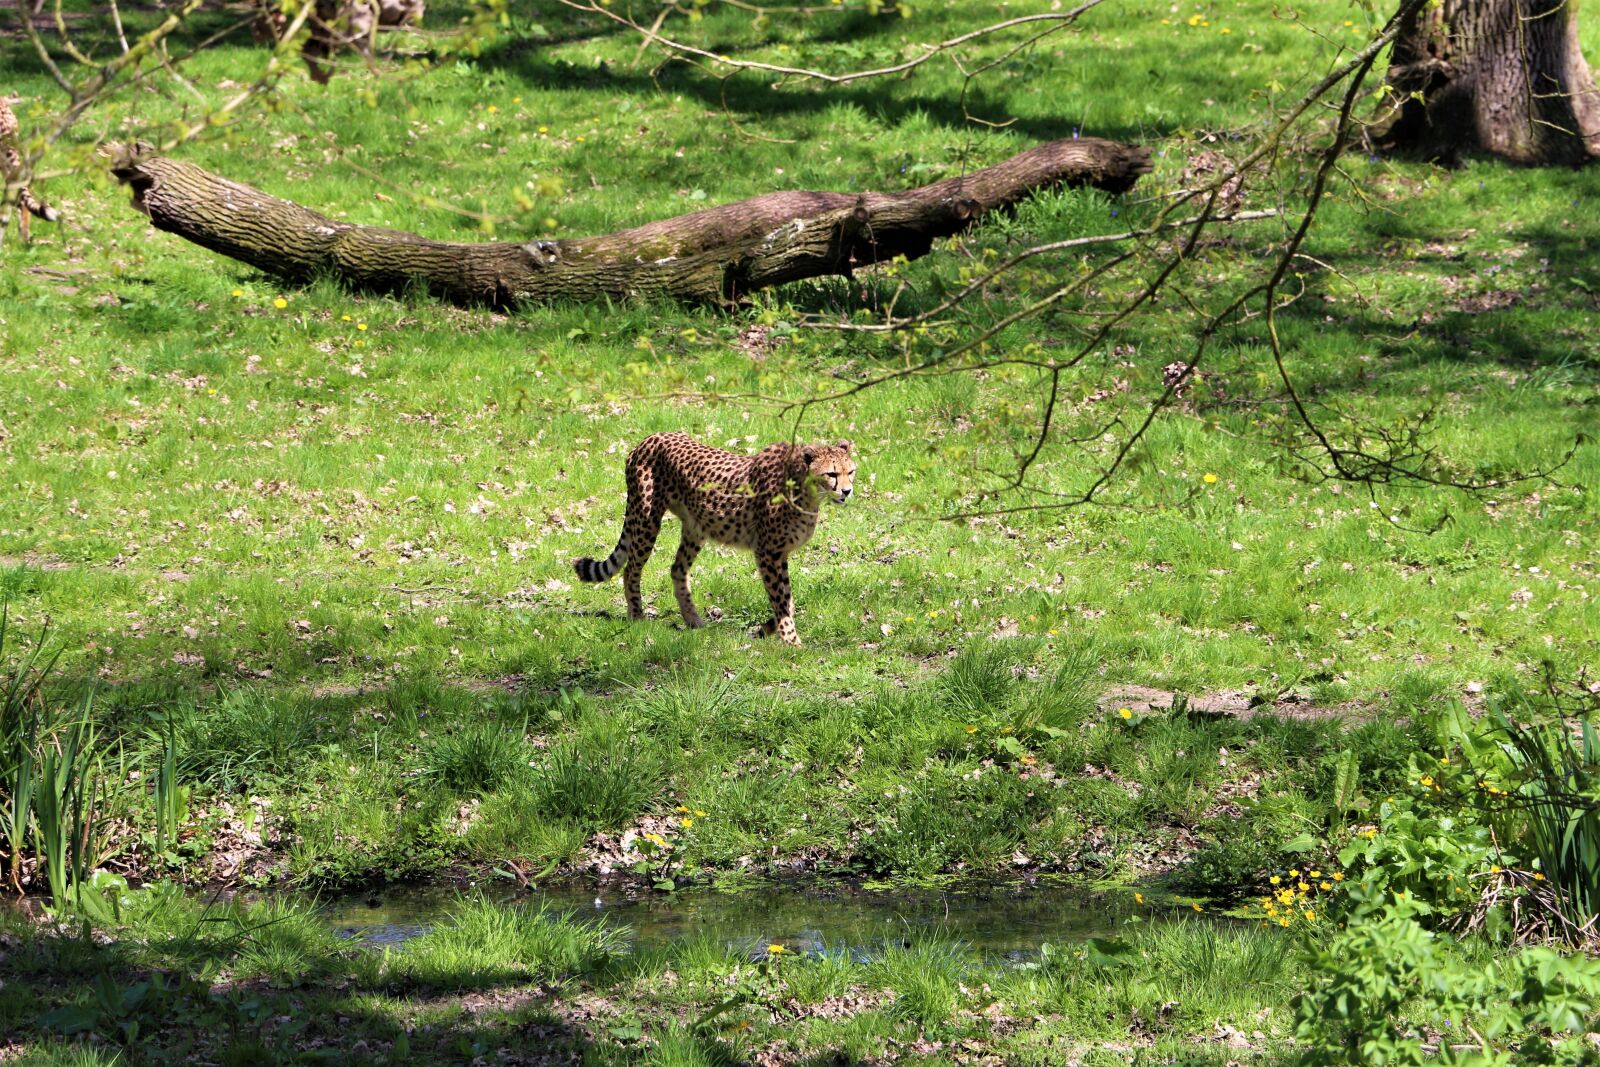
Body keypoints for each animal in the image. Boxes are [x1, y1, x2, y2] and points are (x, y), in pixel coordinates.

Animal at [574, 432, 856, 646]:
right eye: (831, 474)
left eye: (851, 471)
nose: (847, 491)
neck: (806, 491)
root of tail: (651, 437)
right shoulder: (767, 552)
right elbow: (782, 600)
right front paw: (791, 640)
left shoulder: (779, 554)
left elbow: (788, 600)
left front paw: (765, 630)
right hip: (646, 518)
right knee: (631, 569)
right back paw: (636, 616)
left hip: (695, 527)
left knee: (677, 569)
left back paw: (694, 620)